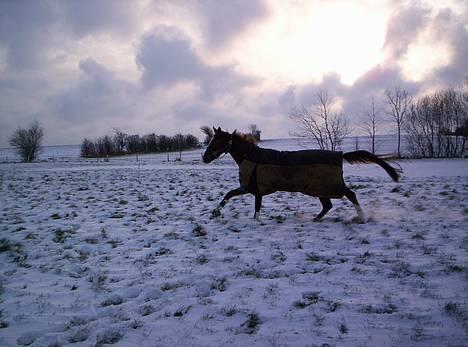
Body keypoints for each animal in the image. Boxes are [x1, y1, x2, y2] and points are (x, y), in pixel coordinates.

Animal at [202, 128, 402, 223]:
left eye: (216, 141)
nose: (204, 157)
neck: (251, 157)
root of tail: (340, 155)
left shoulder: (257, 189)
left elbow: (256, 208)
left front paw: (255, 221)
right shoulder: (248, 187)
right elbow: (229, 194)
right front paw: (214, 212)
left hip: (327, 186)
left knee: (350, 195)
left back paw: (361, 218)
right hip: (321, 189)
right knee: (328, 205)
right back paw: (315, 219)